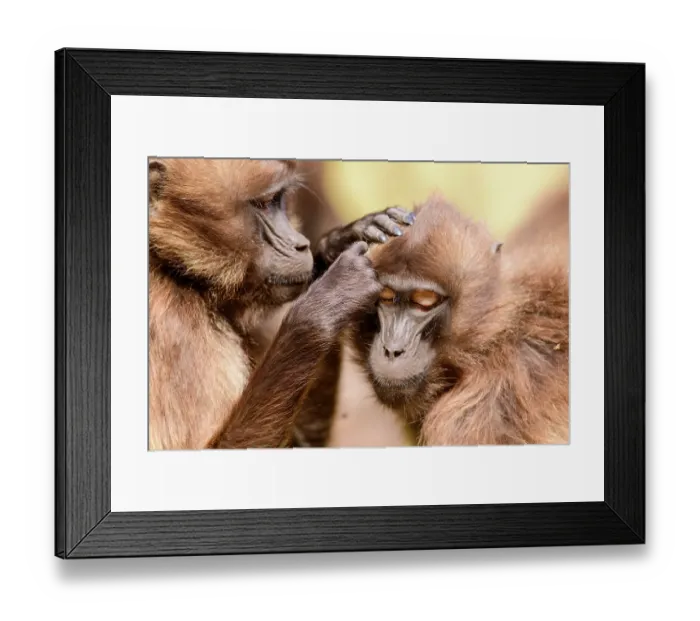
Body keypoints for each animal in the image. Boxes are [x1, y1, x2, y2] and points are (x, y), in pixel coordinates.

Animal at [148, 157, 413, 450]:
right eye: (265, 203)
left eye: (279, 201)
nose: (301, 244)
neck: (173, 270)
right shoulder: (173, 326)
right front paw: (326, 303)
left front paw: (335, 247)